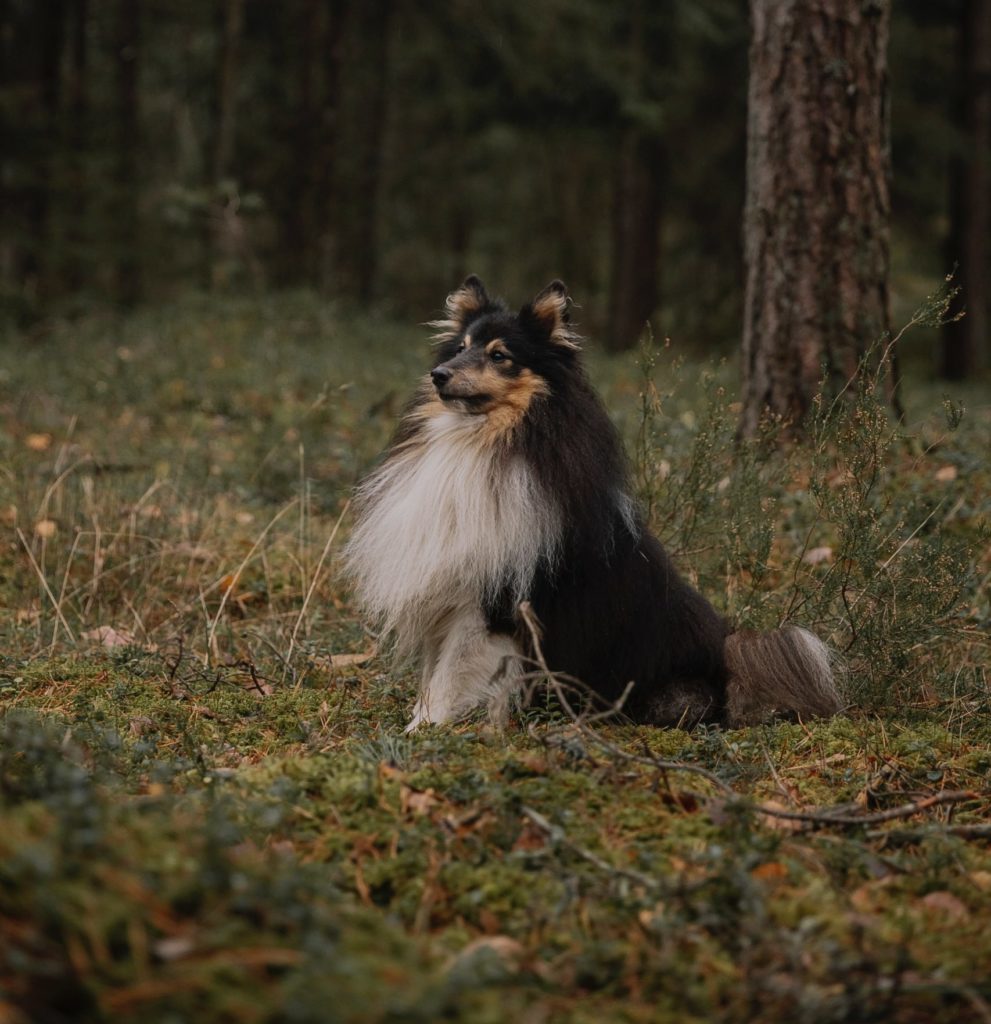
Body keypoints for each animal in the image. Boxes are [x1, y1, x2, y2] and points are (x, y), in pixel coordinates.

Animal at [341, 276, 843, 733]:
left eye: (500, 356)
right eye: (460, 347)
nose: (438, 375)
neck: (478, 441)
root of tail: (728, 654)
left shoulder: (489, 605)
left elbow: (448, 678)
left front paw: (421, 732)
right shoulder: (446, 595)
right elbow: (432, 675)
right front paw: (419, 719)